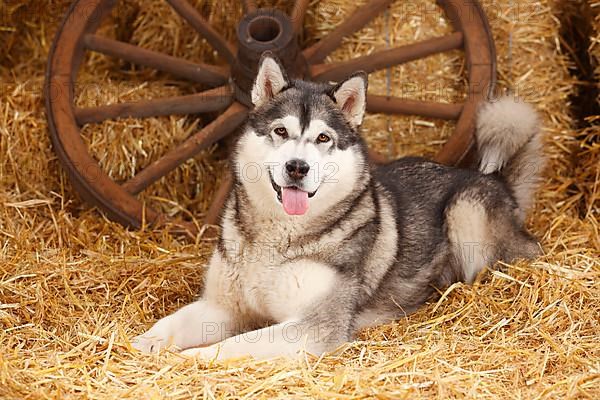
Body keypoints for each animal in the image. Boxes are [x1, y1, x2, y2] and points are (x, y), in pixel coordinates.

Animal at [131, 52, 544, 360]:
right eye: (280, 131)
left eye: (323, 138)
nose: (297, 167)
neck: (278, 238)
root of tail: (497, 179)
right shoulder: (222, 306)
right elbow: (172, 324)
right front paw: (145, 343)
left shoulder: (312, 326)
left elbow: (234, 345)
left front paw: (192, 360)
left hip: (466, 210)